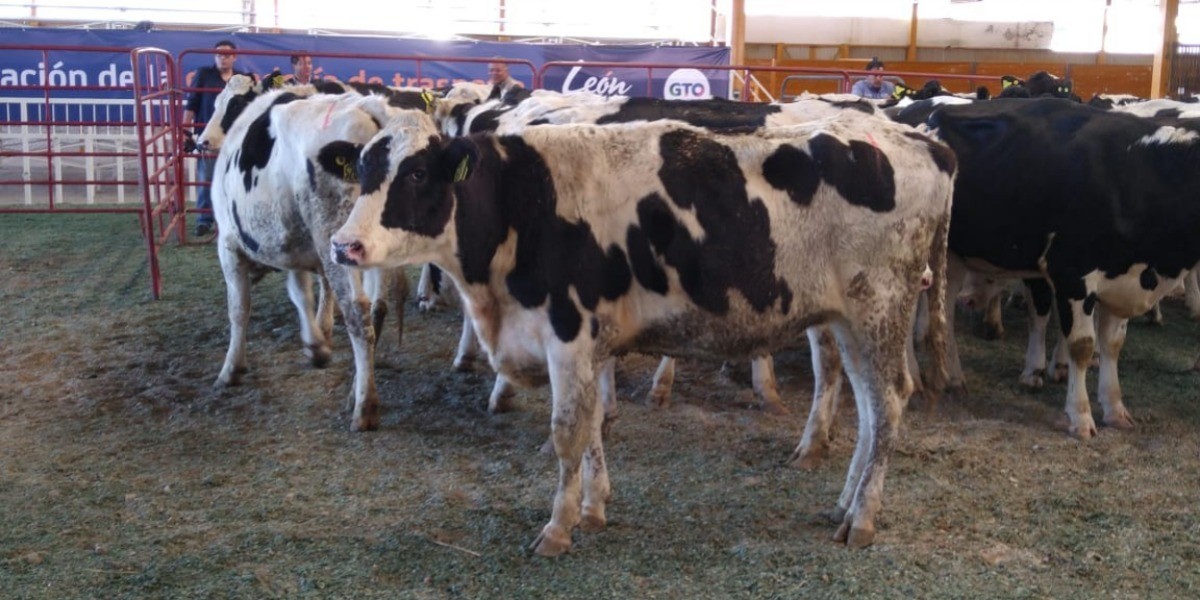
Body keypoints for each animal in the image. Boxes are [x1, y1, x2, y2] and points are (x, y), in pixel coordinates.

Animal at [209, 88, 417, 432]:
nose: (201, 141)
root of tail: (366, 105)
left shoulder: (228, 245)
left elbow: (238, 309)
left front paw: (231, 368)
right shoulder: (295, 247)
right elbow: (300, 293)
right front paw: (316, 345)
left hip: (338, 240)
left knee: (357, 313)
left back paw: (365, 407)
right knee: (377, 308)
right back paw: (354, 389)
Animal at [330, 109, 954, 553]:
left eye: (415, 173)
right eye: (361, 171)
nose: (344, 245)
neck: (523, 203)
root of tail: (923, 140)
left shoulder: (569, 334)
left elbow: (568, 432)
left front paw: (557, 528)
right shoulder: (588, 344)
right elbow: (593, 427)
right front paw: (592, 509)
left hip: (880, 309)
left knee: (889, 404)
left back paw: (863, 518)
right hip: (852, 322)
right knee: (870, 410)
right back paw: (845, 505)